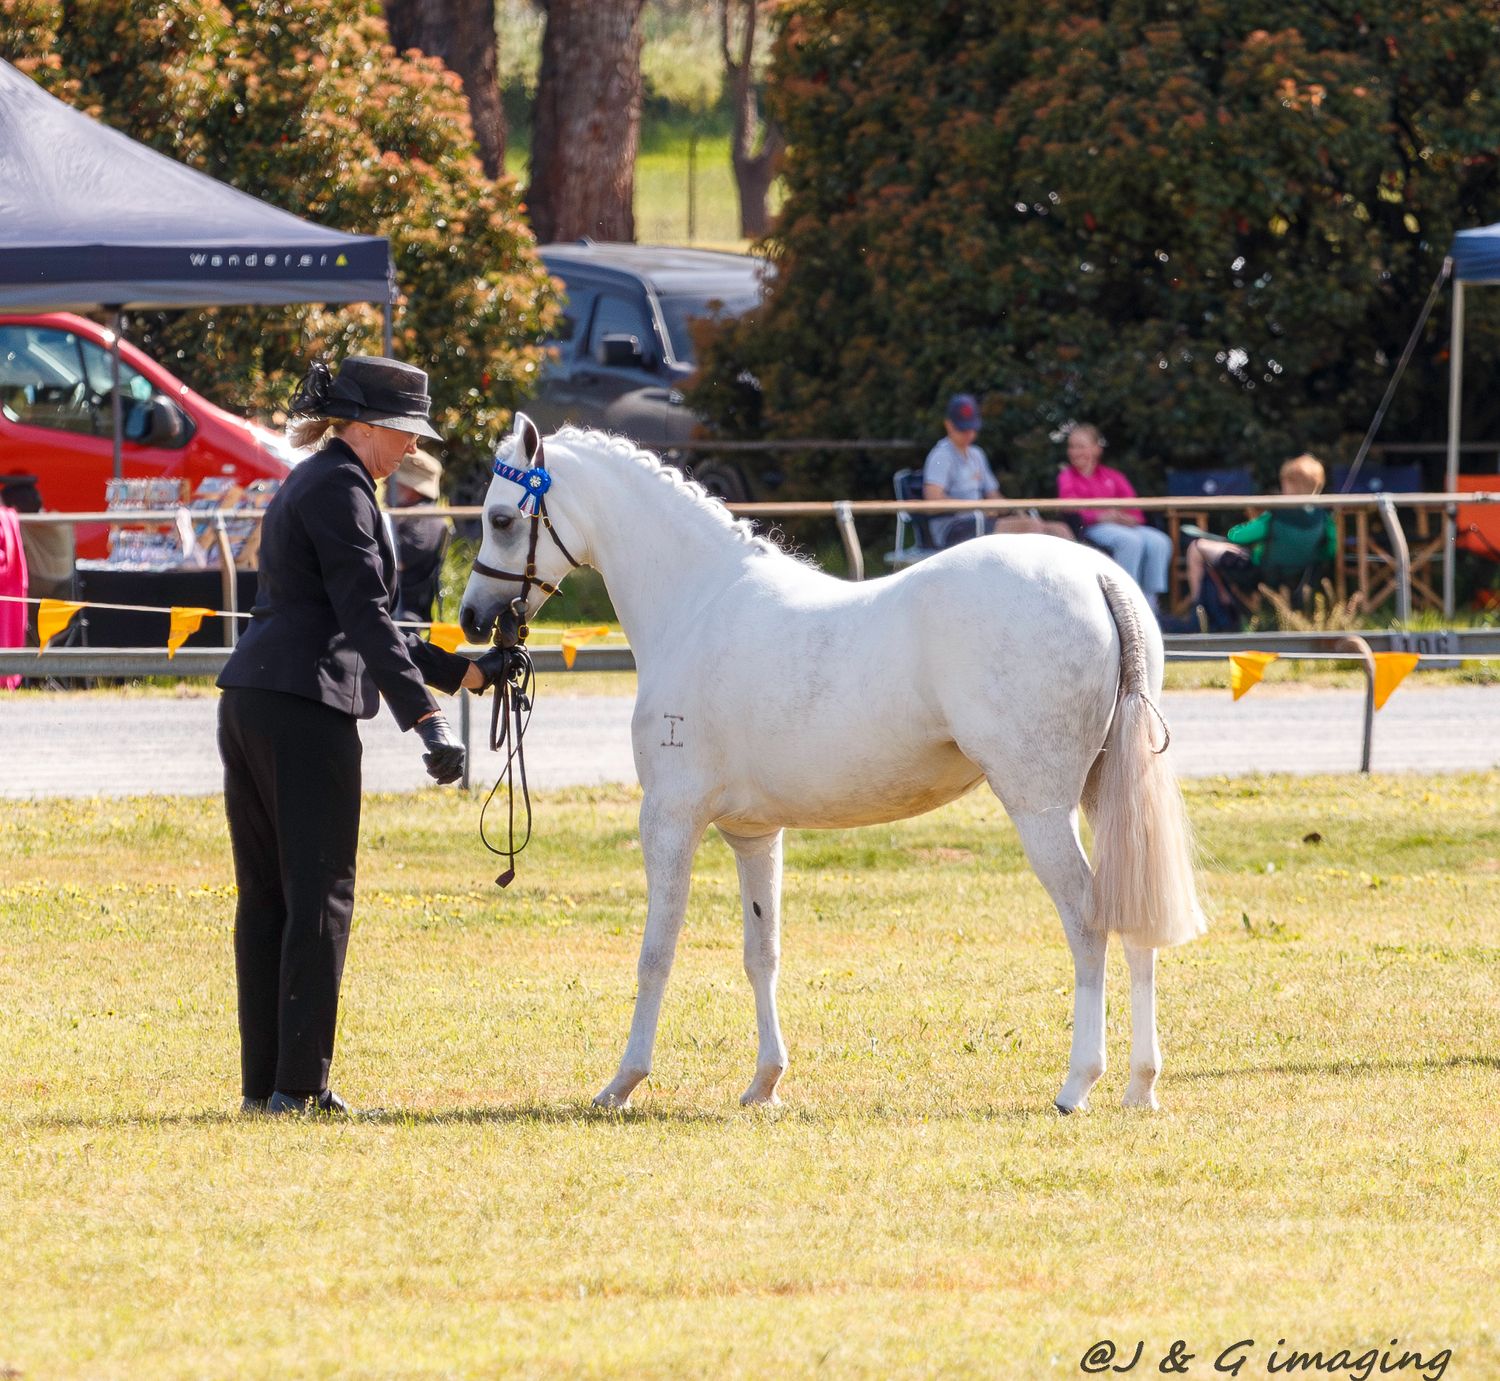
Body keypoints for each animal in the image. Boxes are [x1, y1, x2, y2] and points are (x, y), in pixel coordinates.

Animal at [460, 417, 1207, 1114]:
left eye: (501, 518)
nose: (471, 617)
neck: (698, 603)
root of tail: (1097, 575)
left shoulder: (668, 817)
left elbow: (656, 951)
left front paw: (623, 1081)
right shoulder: (754, 833)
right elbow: (761, 953)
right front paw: (765, 1082)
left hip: (1040, 805)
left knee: (1088, 919)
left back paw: (1078, 1082)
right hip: (1108, 795)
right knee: (1132, 914)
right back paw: (1141, 1084)